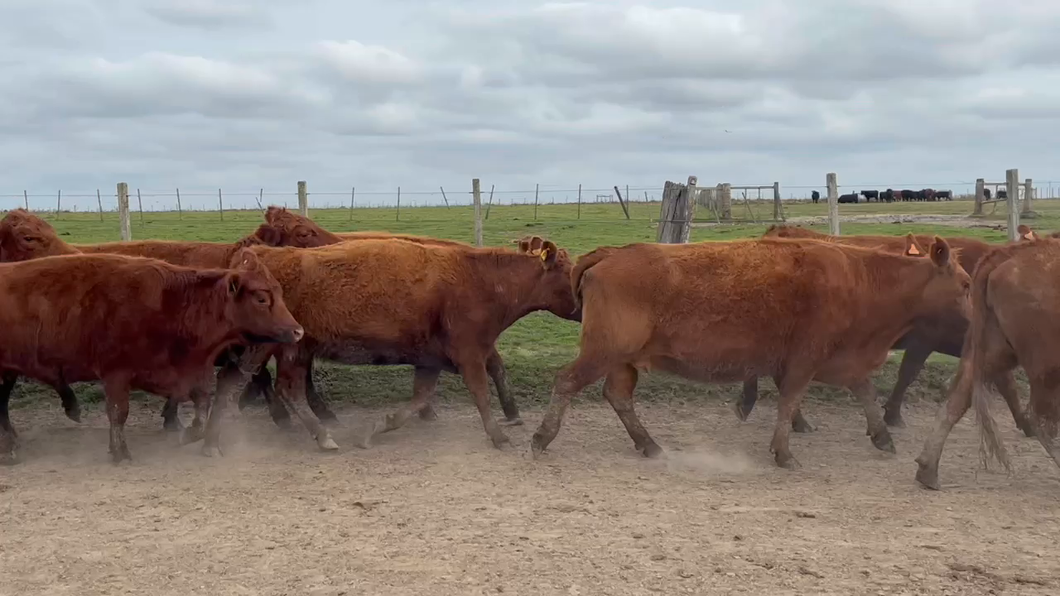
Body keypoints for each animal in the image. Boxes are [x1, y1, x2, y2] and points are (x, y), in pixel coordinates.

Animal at [207, 236, 585, 449]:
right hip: (278, 348)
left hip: (290, 350)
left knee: (270, 386)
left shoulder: (430, 361)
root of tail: (264, 255)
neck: (481, 281)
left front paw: (376, 429)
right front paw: (499, 436)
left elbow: (419, 400)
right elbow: (481, 394)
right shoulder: (470, 354)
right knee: (256, 384)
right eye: (570, 270)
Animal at [527, 234, 970, 466]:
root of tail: (612, 253)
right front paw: (783, 452)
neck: (861, 278)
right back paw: (542, 437)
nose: (974, 324)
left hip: (623, 360)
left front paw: (882, 437)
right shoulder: (806, 359)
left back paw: (649, 444)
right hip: (603, 352)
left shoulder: (840, 359)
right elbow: (790, 402)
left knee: (618, 397)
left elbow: (864, 392)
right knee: (567, 381)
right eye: (966, 284)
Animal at [911, 236, 1060, 487]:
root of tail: (1008, 254)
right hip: (1046, 364)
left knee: (959, 394)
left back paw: (927, 470)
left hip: (996, 350)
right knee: (1041, 420)